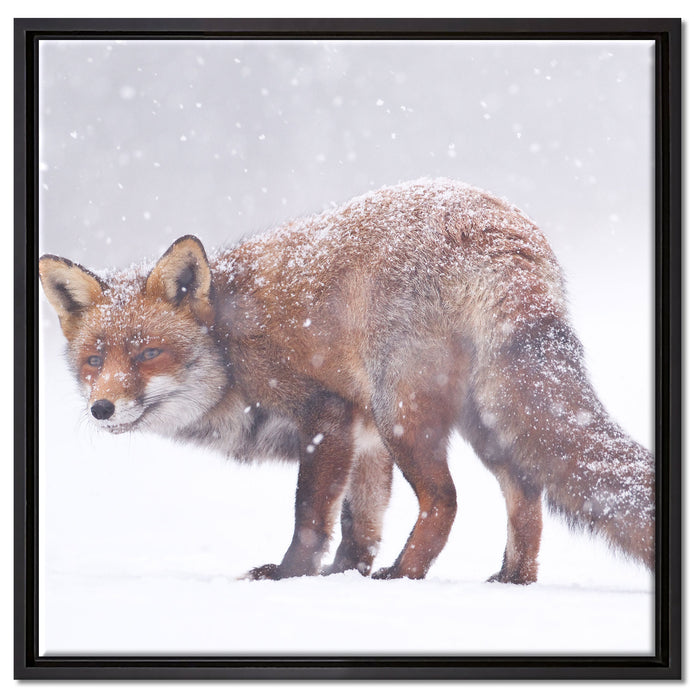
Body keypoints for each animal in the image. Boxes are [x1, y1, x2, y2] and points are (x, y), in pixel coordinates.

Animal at [39, 178, 655, 583]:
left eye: (148, 354)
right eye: (94, 360)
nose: (102, 408)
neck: (230, 346)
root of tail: (496, 228)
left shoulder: (327, 415)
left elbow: (311, 515)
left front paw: (291, 577)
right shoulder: (366, 439)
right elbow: (361, 523)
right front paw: (343, 576)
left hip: (403, 411)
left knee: (446, 501)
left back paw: (405, 576)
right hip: (483, 419)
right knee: (526, 495)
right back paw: (512, 580)